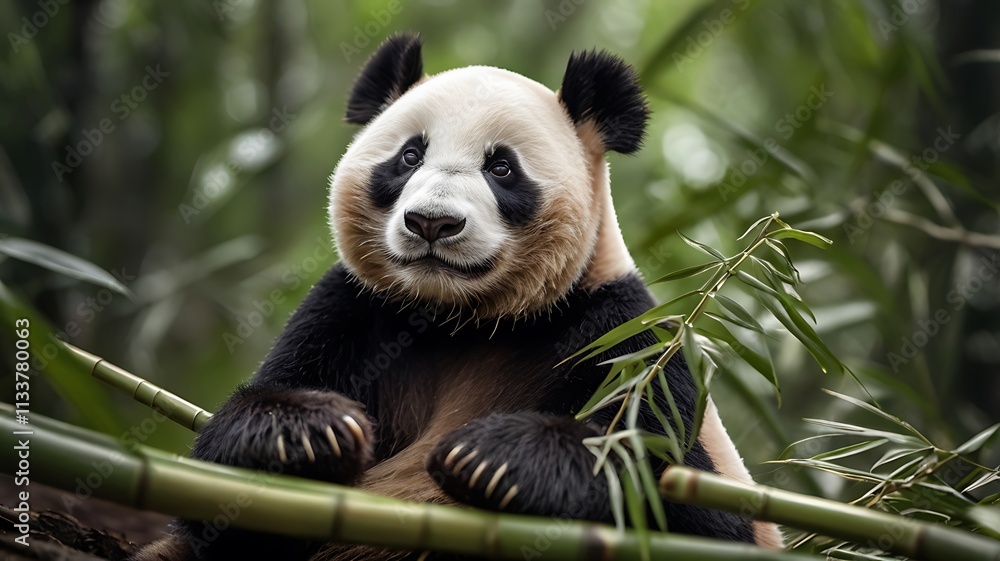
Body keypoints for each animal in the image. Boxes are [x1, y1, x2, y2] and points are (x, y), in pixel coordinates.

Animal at [138, 33, 782, 561]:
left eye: (501, 167)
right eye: (409, 156)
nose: (432, 223)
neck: (459, 317)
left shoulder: (621, 332)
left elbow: (693, 509)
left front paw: (498, 457)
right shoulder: (354, 309)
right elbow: (219, 498)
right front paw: (306, 430)